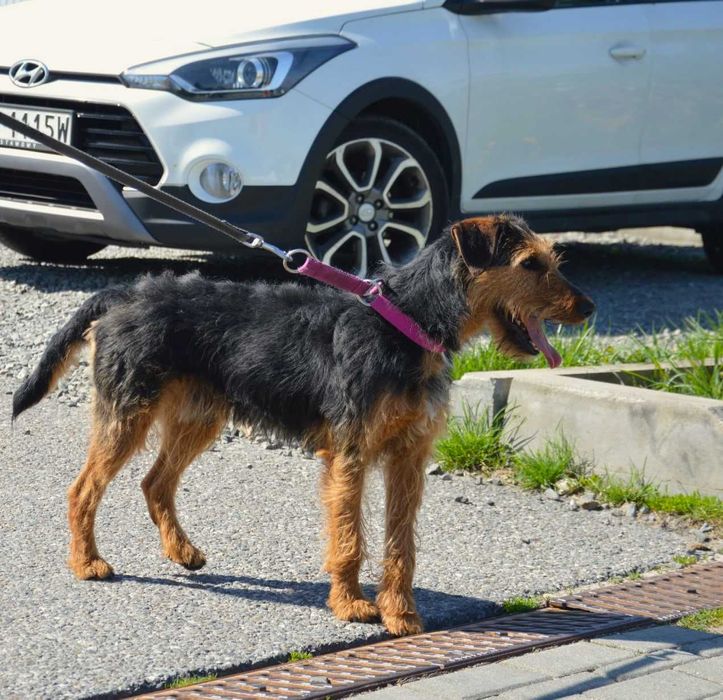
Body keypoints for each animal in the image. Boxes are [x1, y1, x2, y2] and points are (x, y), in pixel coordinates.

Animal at [13, 214, 594, 636]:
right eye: (529, 263)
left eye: (552, 260)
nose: (587, 306)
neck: (405, 323)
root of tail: (125, 293)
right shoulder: (350, 455)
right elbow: (350, 538)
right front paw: (352, 605)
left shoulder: (408, 458)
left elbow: (400, 546)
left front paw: (401, 614)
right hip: (127, 416)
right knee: (82, 490)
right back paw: (87, 563)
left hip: (199, 417)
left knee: (154, 482)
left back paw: (181, 552)